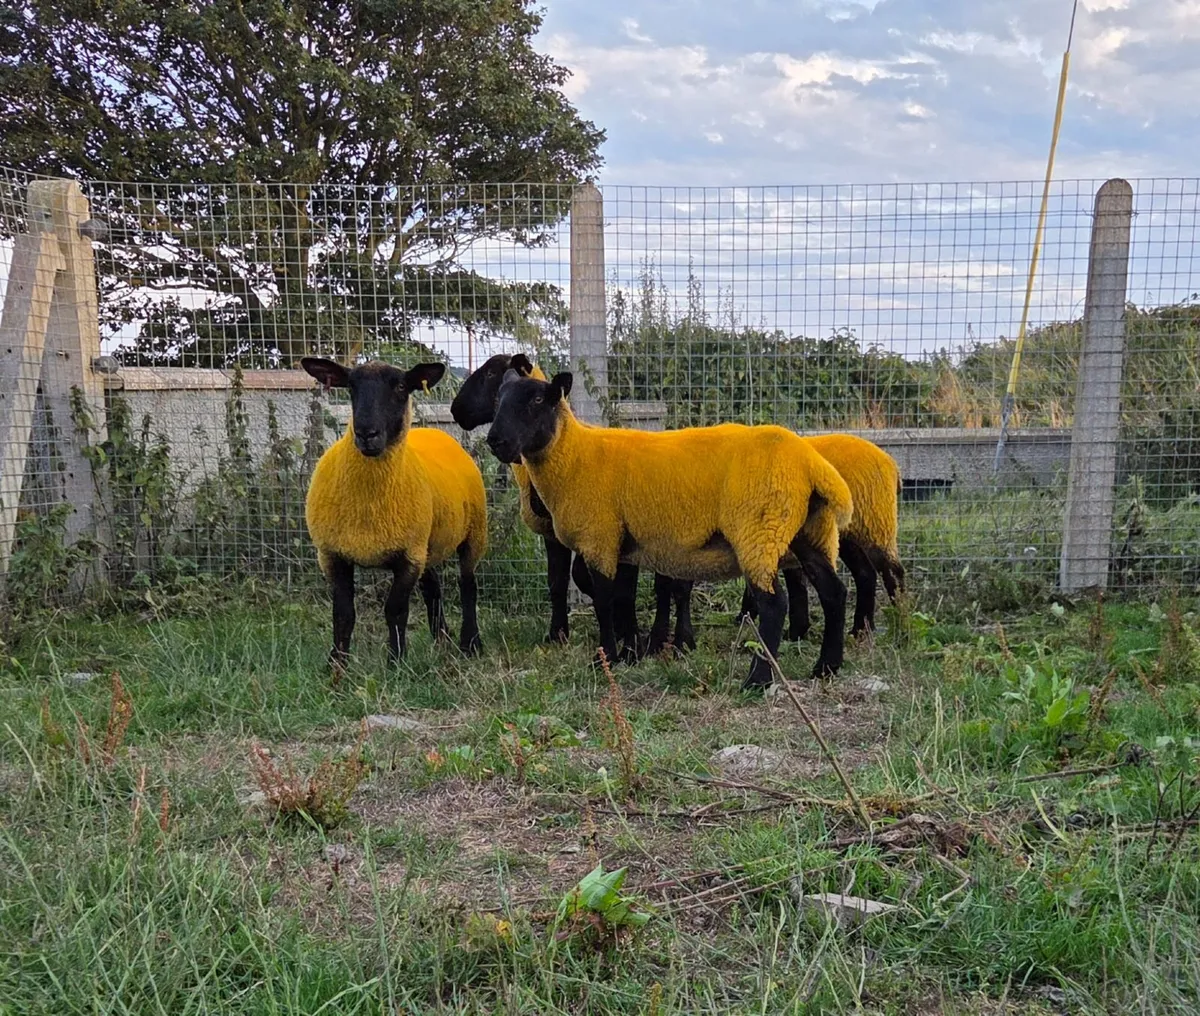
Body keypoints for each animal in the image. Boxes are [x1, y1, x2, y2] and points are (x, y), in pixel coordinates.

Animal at [302, 356, 488, 672]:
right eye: (351, 386)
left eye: (401, 387)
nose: (366, 433)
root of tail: (432, 430)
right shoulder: (331, 555)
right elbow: (343, 613)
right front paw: (336, 666)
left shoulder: (408, 557)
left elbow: (395, 610)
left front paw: (396, 663)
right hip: (427, 541)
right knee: (433, 588)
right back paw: (442, 639)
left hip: (473, 533)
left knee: (467, 585)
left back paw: (470, 643)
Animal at [450, 352, 645, 661]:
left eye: (491, 373)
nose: (456, 410)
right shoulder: (551, 532)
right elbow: (557, 581)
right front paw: (557, 634)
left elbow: (588, 578)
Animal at [485, 369, 854, 689]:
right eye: (498, 399)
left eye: (537, 400)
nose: (495, 441)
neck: (575, 457)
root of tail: (813, 465)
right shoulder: (623, 545)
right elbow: (622, 598)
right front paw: (629, 652)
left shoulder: (599, 537)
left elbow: (604, 601)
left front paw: (605, 658)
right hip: (810, 531)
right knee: (834, 593)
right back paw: (826, 668)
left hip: (759, 530)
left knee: (774, 605)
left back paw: (757, 680)